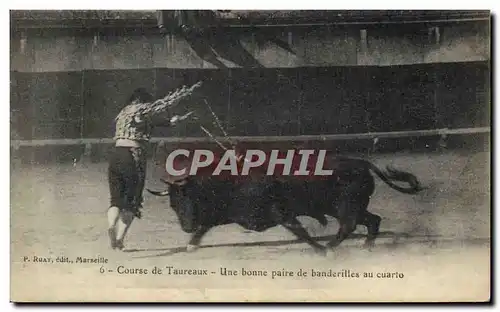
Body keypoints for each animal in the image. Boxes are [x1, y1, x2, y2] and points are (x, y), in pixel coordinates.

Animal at [146, 152, 424, 256]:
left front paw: (319, 249)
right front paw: (191, 245)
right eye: (172, 205)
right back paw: (367, 246)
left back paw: (331, 247)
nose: (186, 227)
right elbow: (206, 227)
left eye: (187, 198)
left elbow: (299, 230)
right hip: (352, 207)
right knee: (372, 221)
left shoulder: (280, 213)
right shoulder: (228, 214)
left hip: (345, 207)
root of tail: (362, 163)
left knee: (349, 225)